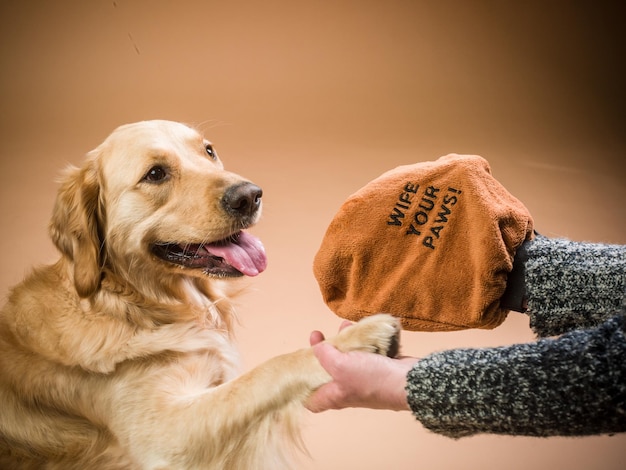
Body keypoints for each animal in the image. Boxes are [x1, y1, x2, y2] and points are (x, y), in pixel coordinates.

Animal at [0, 121, 400, 470]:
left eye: (208, 151)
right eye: (155, 174)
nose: (250, 195)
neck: (133, 306)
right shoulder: (165, 435)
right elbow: (267, 371)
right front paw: (357, 339)